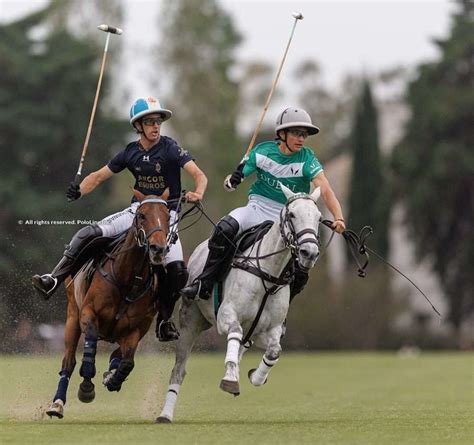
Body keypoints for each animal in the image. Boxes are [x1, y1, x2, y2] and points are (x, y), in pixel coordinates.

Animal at [45, 189, 170, 418]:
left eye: (167, 217)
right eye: (142, 215)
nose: (158, 248)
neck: (128, 279)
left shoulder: (137, 328)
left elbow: (128, 361)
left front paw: (113, 379)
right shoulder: (88, 313)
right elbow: (89, 350)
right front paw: (86, 387)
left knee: (117, 355)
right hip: (72, 316)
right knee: (69, 361)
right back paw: (57, 403)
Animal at [158, 185, 322, 424]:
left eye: (319, 217)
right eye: (292, 215)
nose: (309, 253)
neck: (268, 273)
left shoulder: (270, 328)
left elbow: (274, 351)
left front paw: (256, 377)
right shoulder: (227, 316)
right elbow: (234, 333)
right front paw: (230, 378)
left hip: (250, 332)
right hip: (191, 322)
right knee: (179, 370)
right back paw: (165, 414)